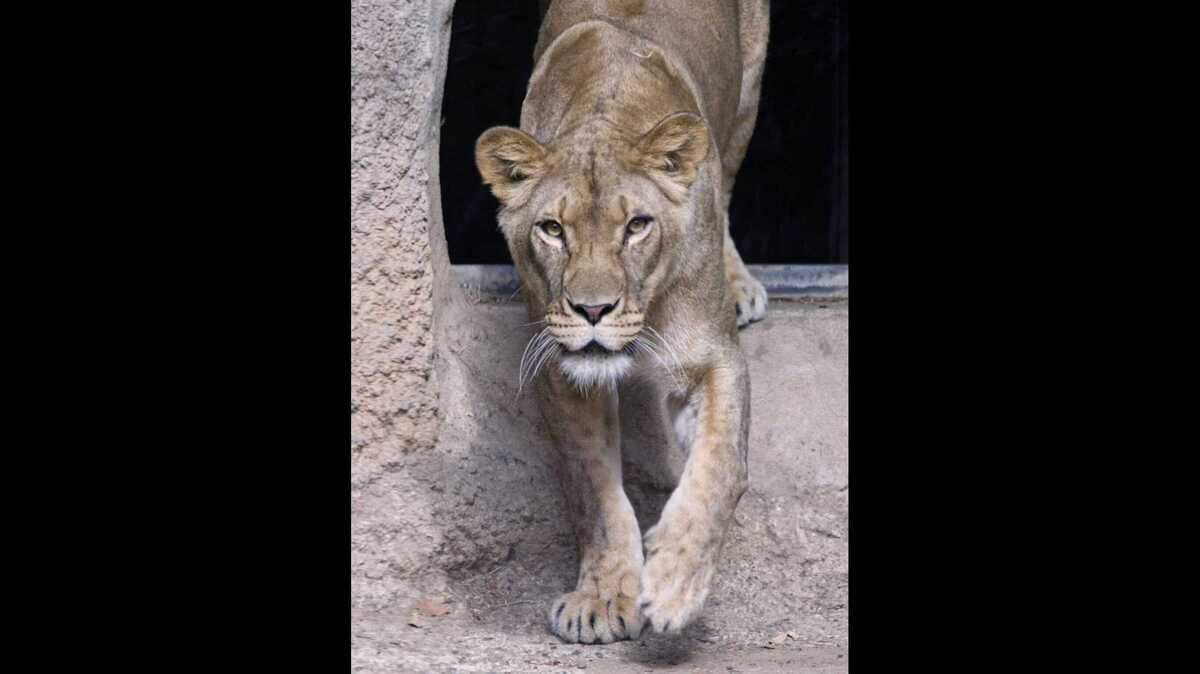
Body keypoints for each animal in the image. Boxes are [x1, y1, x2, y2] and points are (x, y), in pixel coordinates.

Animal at [475, 0, 770, 643]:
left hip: (747, 95)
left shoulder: (713, 357)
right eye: (552, 229)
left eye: (636, 226)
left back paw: (740, 283)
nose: (592, 310)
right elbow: (595, 491)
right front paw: (603, 598)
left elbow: (717, 469)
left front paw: (675, 583)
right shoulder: (561, 369)